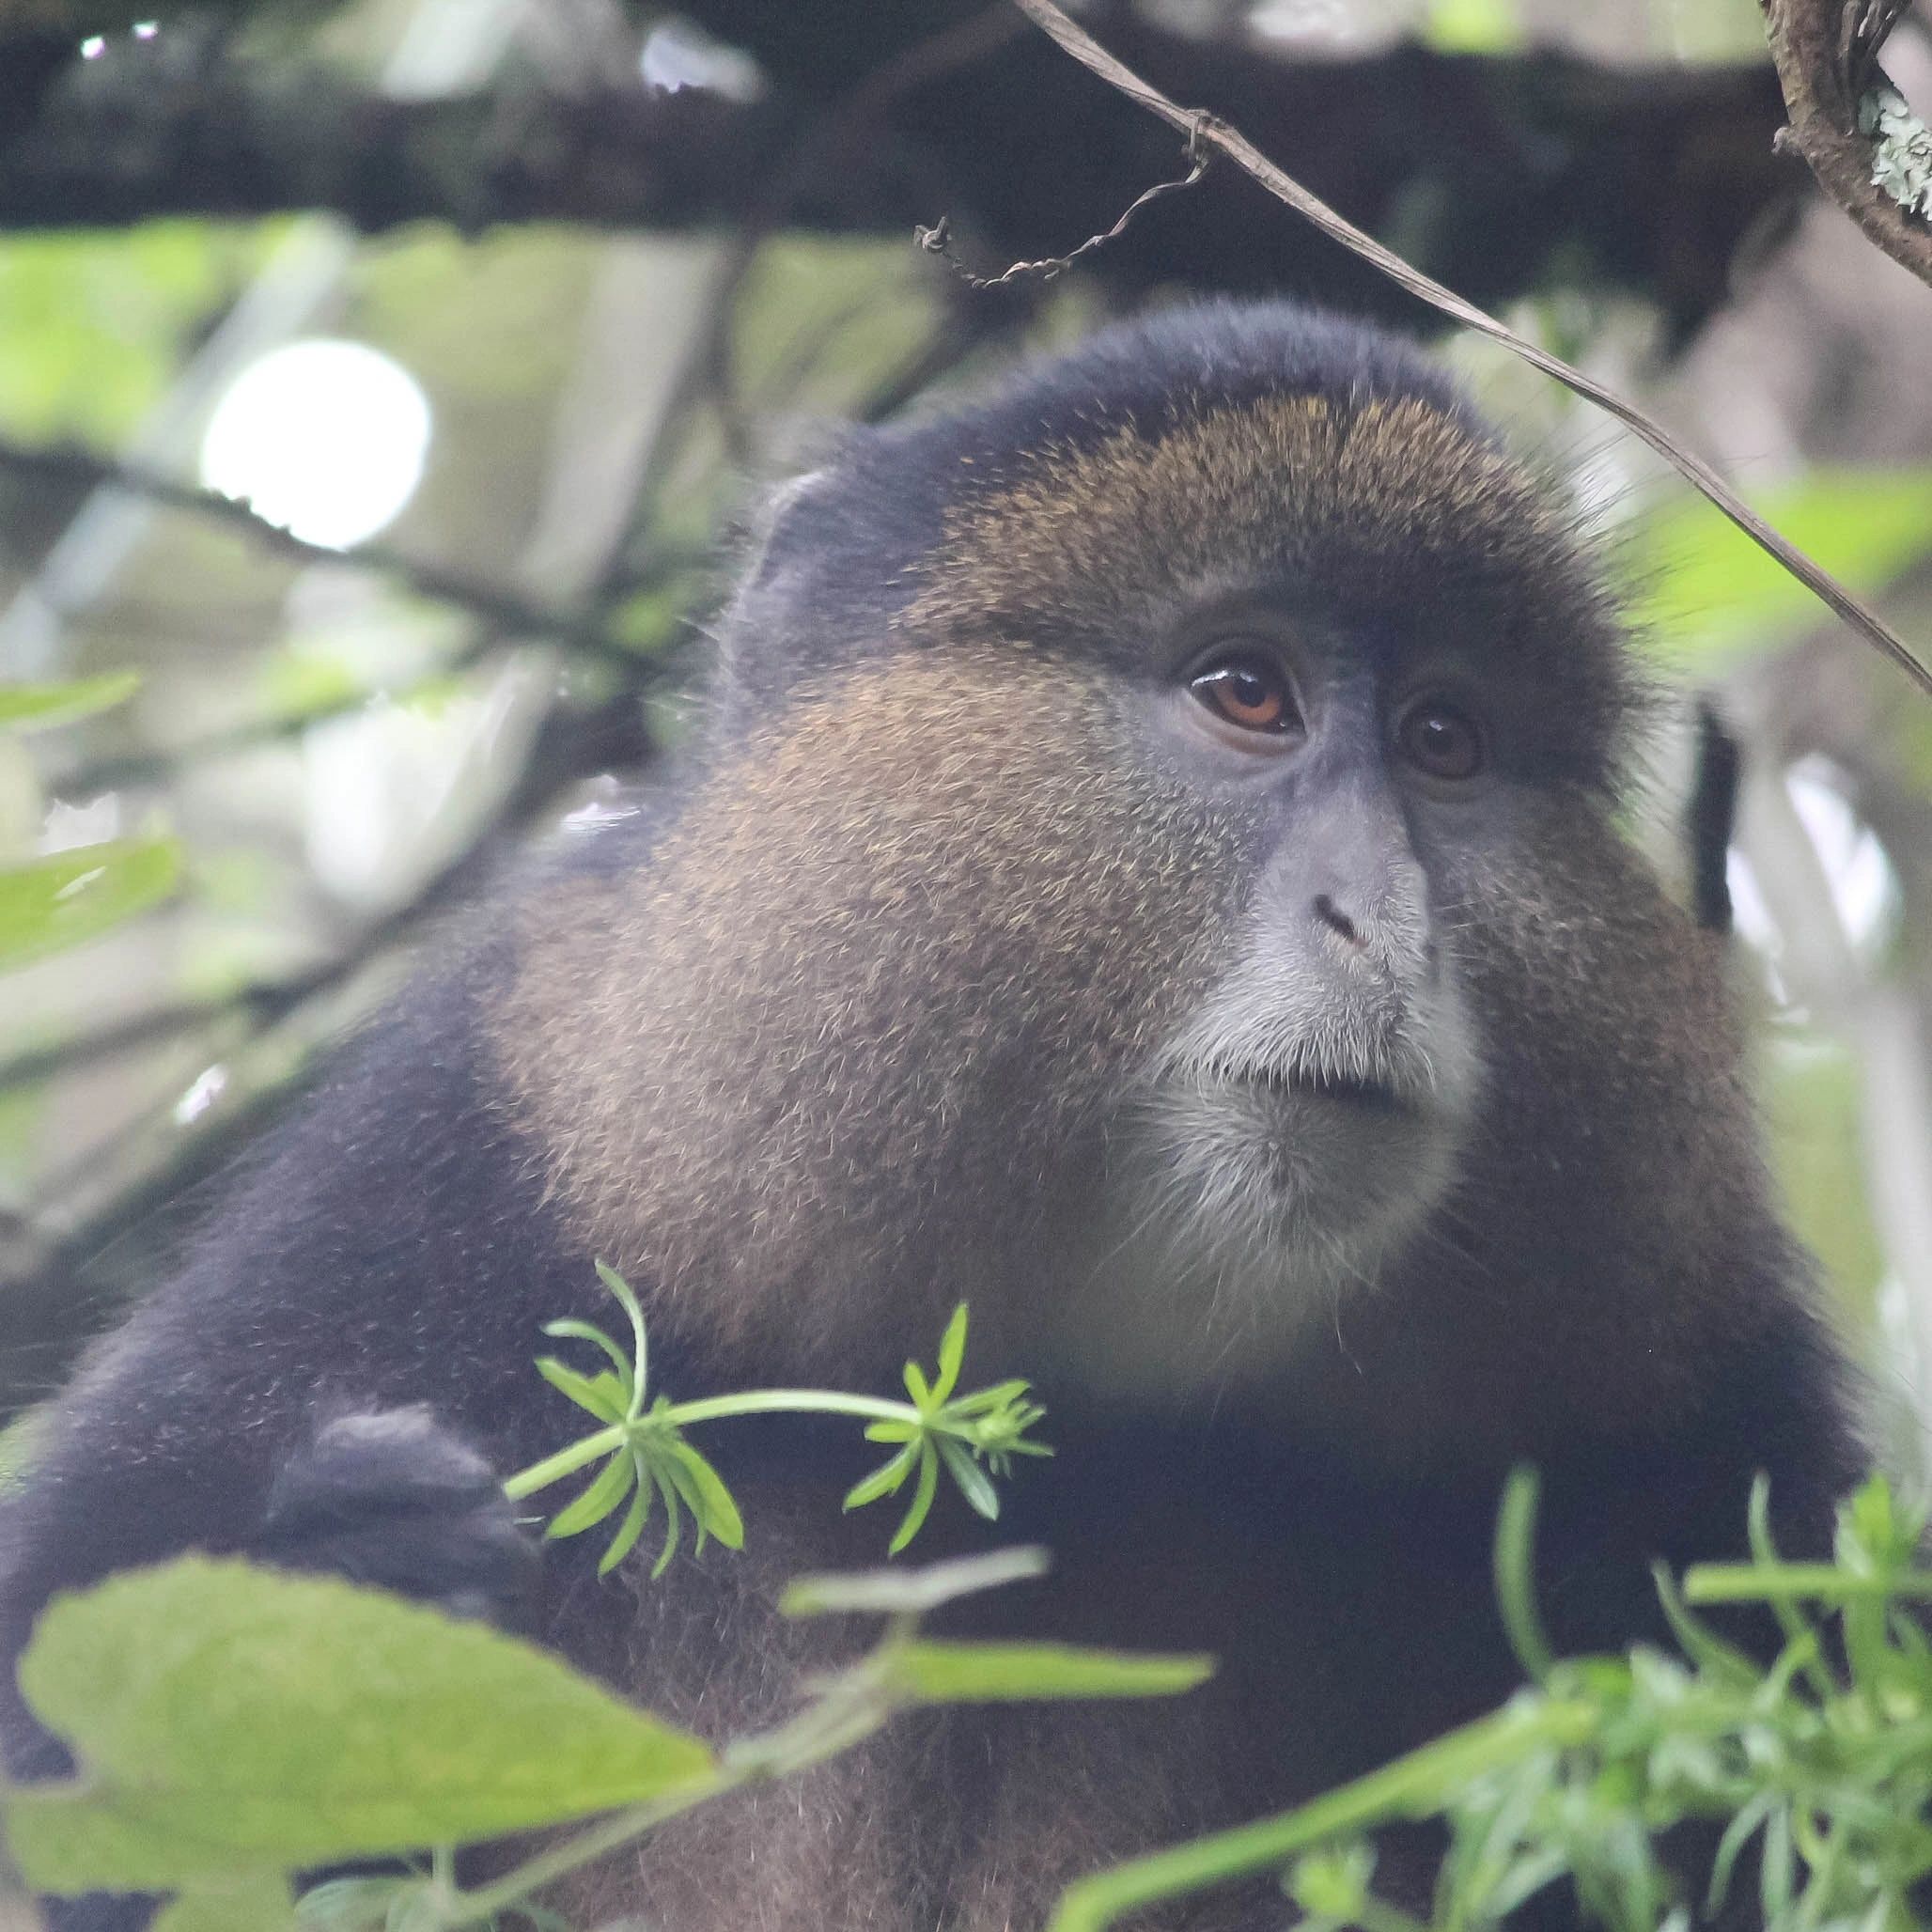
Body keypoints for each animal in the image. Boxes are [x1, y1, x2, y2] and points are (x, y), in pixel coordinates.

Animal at [0, 300, 1871, 1931]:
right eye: (1245, 693)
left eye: (1445, 741)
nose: (1383, 924)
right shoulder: (475, 1127)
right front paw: (341, 1579)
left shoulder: (1695, 1378)